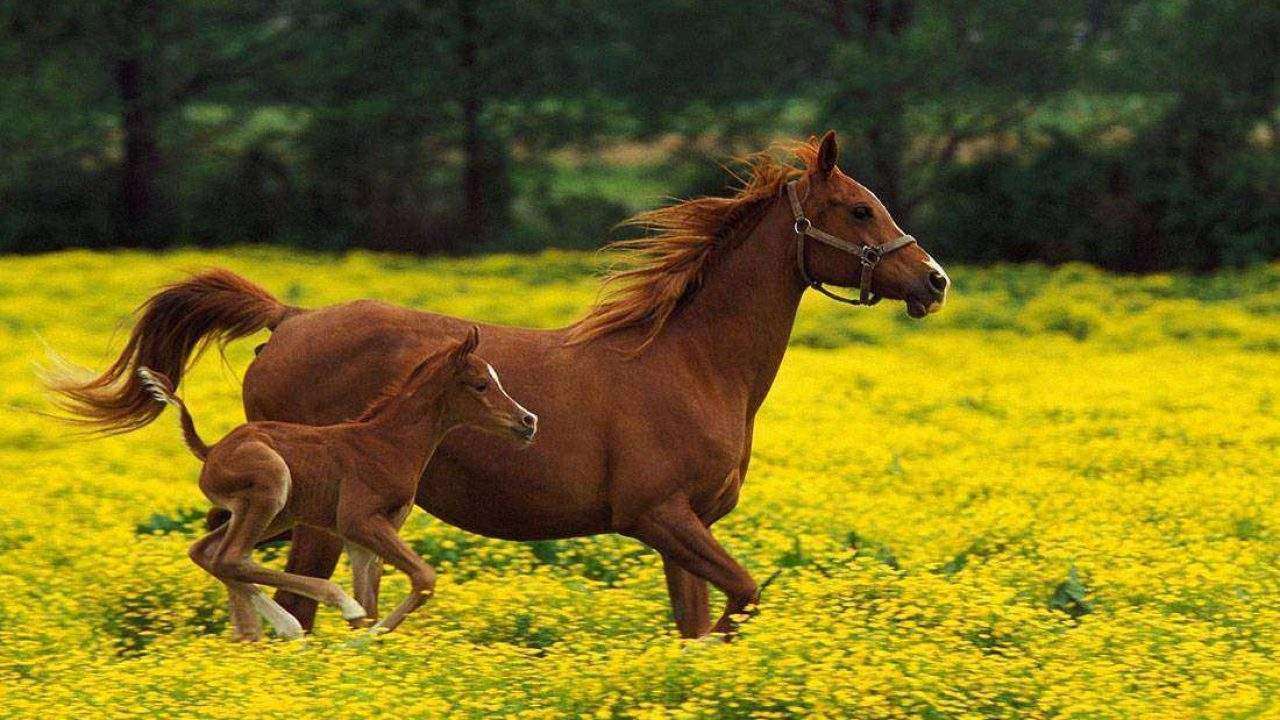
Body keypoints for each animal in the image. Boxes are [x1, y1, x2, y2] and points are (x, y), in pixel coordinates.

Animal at [137, 326, 537, 638]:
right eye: (481, 384)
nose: (528, 421)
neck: (388, 444)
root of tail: (210, 450)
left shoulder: (365, 535)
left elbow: (374, 601)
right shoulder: (358, 521)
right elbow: (422, 579)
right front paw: (362, 636)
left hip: (275, 513)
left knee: (208, 553)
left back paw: (268, 629)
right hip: (272, 486)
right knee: (231, 557)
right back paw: (316, 613)